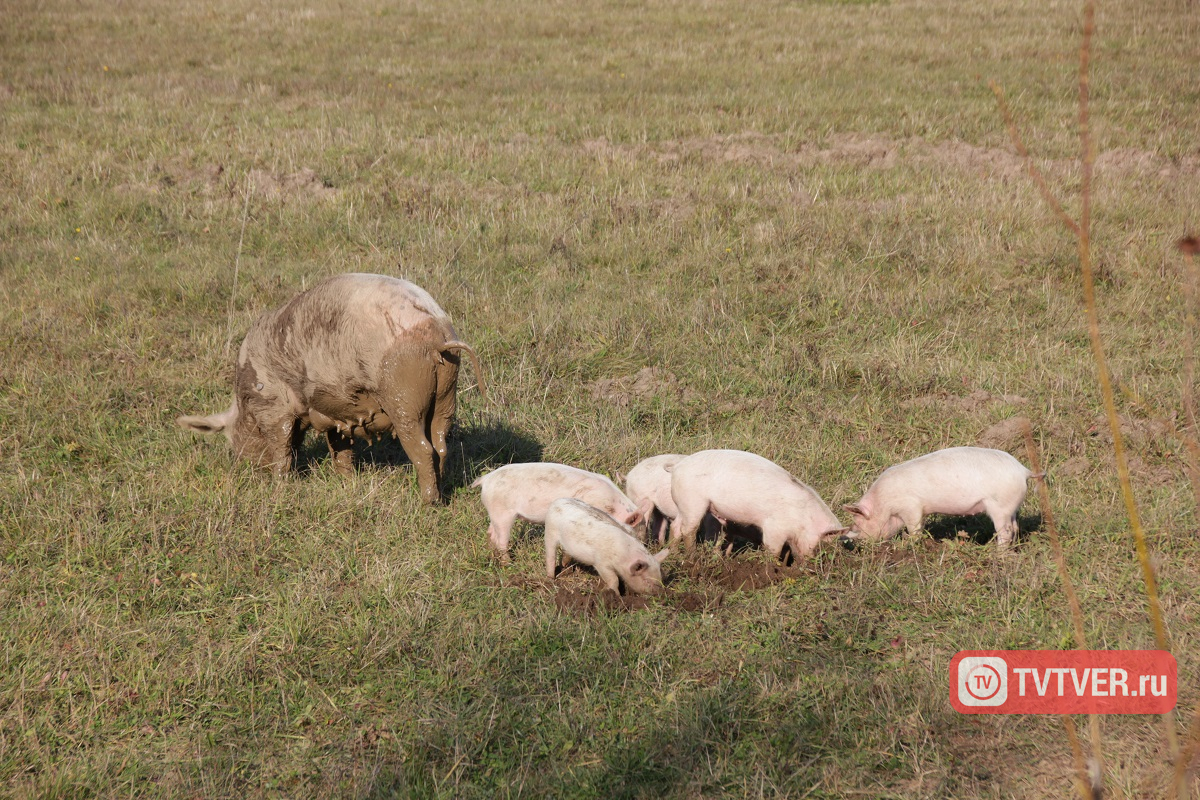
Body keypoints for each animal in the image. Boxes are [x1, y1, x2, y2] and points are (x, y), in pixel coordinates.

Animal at [175, 272, 482, 503]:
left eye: (231, 438)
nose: (247, 470)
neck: (245, 404)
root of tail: (437, 337)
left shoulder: (273, 404)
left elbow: (282, 445)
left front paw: (279, 486)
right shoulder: (336, 410)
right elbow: (339, 446)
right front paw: (346, 481)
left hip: (402, 392)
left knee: (422, 447)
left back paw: (427, 502)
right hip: (446, 391)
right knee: (441, 443)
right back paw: (442, 495)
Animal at [472, 462, 652, 556]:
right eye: (633, 532)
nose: (646, 545)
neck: (611, 506)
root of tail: (486, 479)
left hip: (495, 511)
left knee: (491, 532)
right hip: (503, 512)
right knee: (501, 540)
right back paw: (507, 562)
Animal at [667, 450, 844, 563]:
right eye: (819, 545)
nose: (810, 565)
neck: (804, 518)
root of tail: (677, 467)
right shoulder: (774, 527)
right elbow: (773, 549)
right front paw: (772, 568)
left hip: (683, 504)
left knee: (675, 526)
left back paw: (674, 554)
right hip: (694, 501)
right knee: (688, 530)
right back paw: (692, 558)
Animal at [840, 443, 1036, 551]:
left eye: (857, 524)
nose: (844, 540)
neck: (884, 504)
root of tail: (1023, 470)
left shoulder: (911, 507)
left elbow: (914, 528)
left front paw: (910, 542)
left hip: (999, 506)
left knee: (1006, 531)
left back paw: (998, 552)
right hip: (1010, 507)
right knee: (1015, 527)